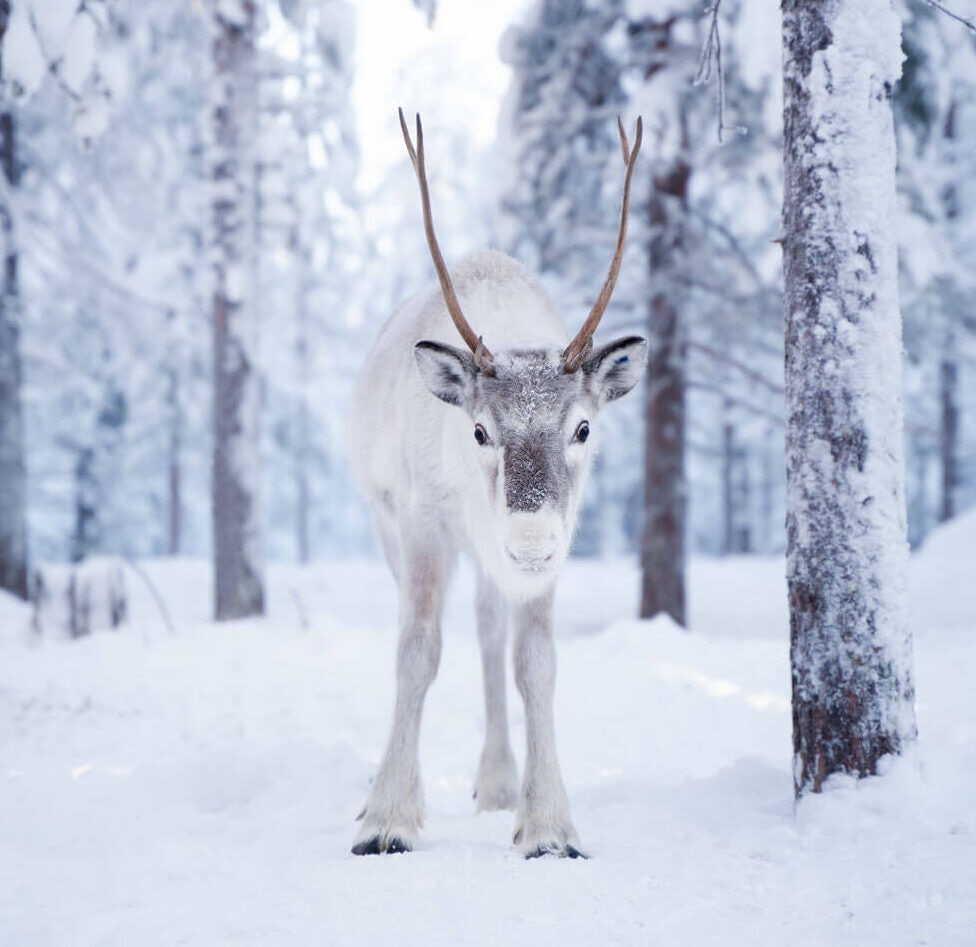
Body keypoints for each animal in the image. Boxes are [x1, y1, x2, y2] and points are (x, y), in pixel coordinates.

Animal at [347, 110, 646, 859]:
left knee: (487, 631)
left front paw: (548, 825)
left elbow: (534, 661)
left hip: (487, 559)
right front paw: (387, 817)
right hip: (388, 525)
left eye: (583, 428)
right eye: (480, 429)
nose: (530, 539)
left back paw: (498, 781)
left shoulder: (547, 561)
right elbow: (417, 649)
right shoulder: (421, 522)